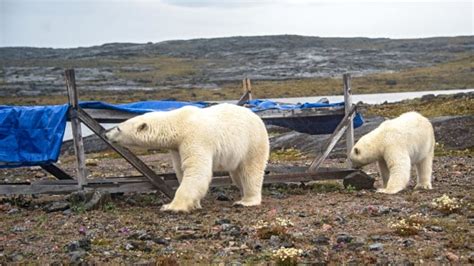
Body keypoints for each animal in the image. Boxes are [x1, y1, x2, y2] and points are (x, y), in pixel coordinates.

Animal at [105, 103, 268, 212]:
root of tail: (258, 118)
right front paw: (195, 203)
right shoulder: (177, 147)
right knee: (237, 174)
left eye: (118, 128)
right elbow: (180, 169)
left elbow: (196, 170)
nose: (106, 134)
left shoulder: (195, 137)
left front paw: (171, 206)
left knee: (250, 171)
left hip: (252, 143)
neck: (178, 123)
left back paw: (246, 201)